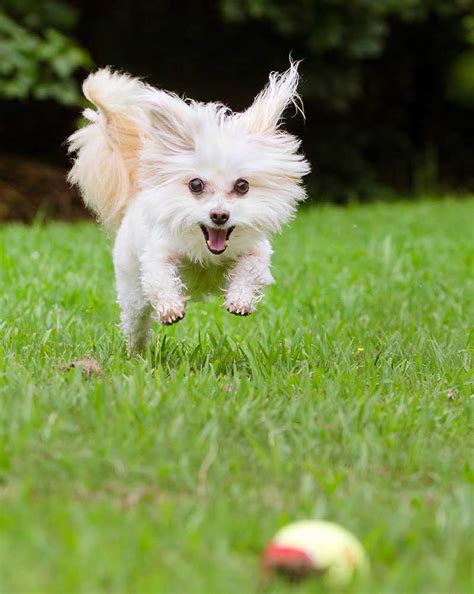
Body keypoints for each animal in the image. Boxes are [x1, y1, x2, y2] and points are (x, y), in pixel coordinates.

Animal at [67, 61, 312, 346]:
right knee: (135, 322)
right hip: (132, 291)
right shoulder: (158, 253)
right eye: (196, 184)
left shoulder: (256, 250)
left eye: (243, 186)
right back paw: (134, 351)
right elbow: (160, 277)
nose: (219, 215)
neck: (208, 253)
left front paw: (240, 300)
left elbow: (250, 269)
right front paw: (171, 309)